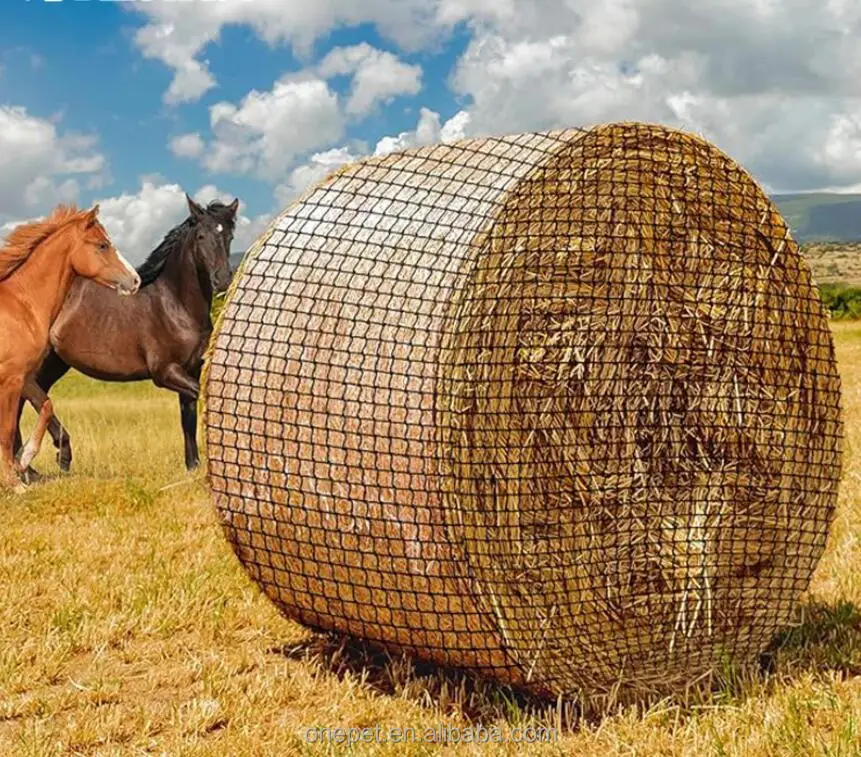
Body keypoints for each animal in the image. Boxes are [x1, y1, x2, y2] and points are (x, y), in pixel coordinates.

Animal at [0, 204, 140, 492]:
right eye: (102, 245)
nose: (135, 280)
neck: (23, 305)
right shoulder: (11, 379)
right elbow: (6, 431)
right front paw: (13, 482)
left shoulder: (25, 377)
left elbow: (46, 406)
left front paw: (24, 460)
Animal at [15, 194, 237, 479]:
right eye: (200, 236)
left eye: (229, 235)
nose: (223, 280)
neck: (175, 305)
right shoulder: (165, 372)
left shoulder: (190, 369)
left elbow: (188, 420)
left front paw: (193, 468)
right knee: (28, 392)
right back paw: (54, 456)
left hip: (54, 363)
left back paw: (27, 468)